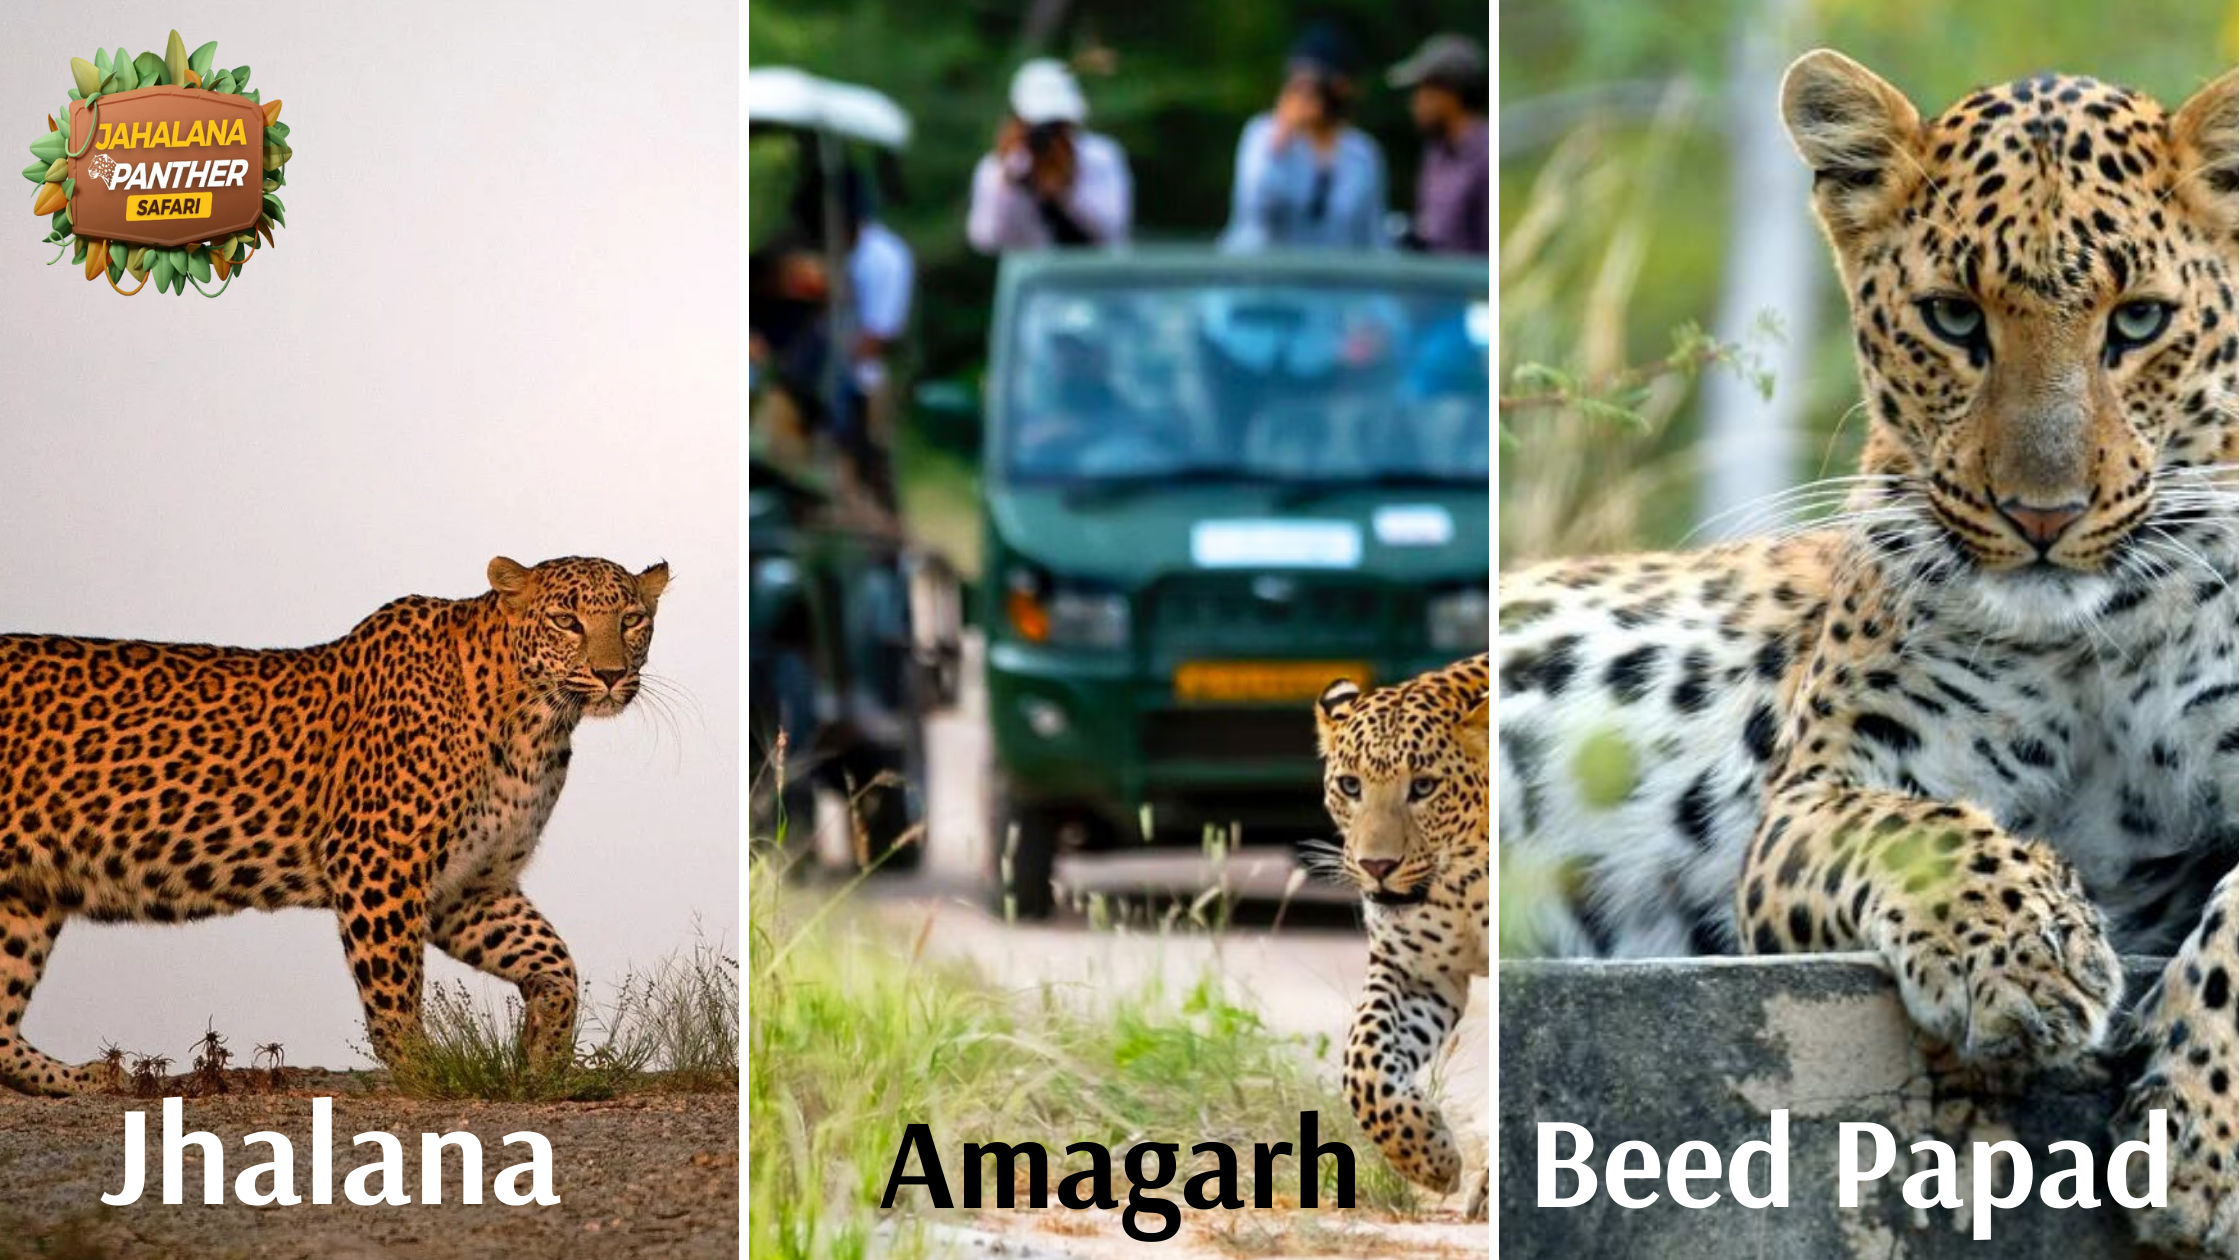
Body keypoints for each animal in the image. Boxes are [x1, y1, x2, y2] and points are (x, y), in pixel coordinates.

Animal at [0, 554, 669, 1096]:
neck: (538, 724)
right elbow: (394, 995)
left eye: (632, 619)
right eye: (566, 620)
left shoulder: (469, 887)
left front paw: (544, 1059)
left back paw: (80, 1079)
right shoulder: (380, 864)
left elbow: (555, 963)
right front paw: (431, 1073)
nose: (611, 674)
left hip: (23, 898)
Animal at [1315, 653, 1491, 1219]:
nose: (1377, 866)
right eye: (1351, 786)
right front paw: (1430, 1157)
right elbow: (1363, 1064)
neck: (1458, 882)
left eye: (1424, 787)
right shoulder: (1418, 973)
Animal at [1499, 51, 2237, 1253]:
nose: (2042, 515)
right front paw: (2025, 956)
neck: (2090, 640)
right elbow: (1924, 832)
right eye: (1952, 319)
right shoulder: (1814, 795)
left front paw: (2199, 1140)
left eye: (2136, 323)